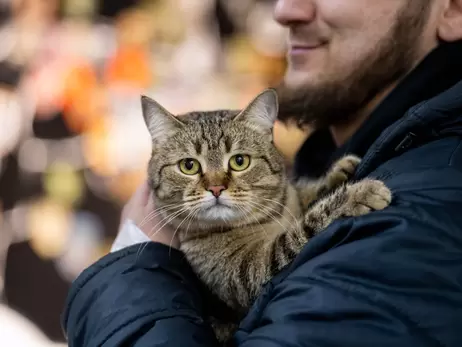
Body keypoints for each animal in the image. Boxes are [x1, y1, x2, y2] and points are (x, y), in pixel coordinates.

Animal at [143, 89, 392, 342]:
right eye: (189, 166)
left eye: (239, 161)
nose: (216, 188)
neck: (268, 218)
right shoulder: (249, 273)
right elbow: (302, 230)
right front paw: (354, 195)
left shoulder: (288, 198)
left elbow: (302, 194)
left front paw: (338, 172)